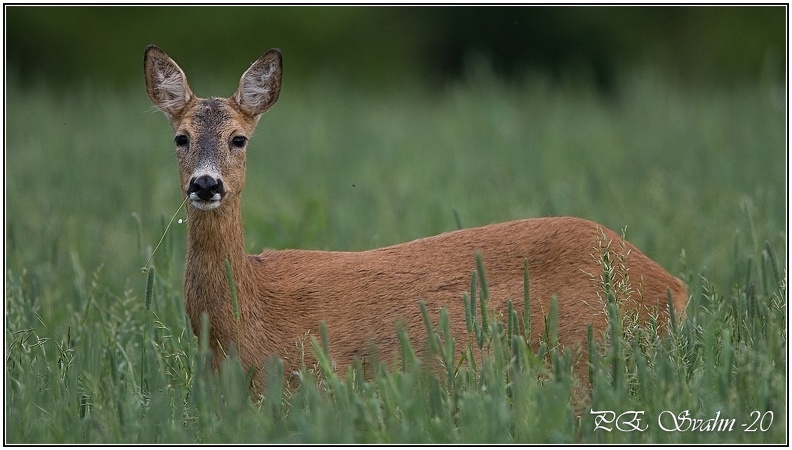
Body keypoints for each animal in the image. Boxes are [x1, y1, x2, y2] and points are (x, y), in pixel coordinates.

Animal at [142, 45, 688, 388]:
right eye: (180, 137)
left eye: (239, 138)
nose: (206, 184)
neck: (243, 320)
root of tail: (672, 285)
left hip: (584, 357)